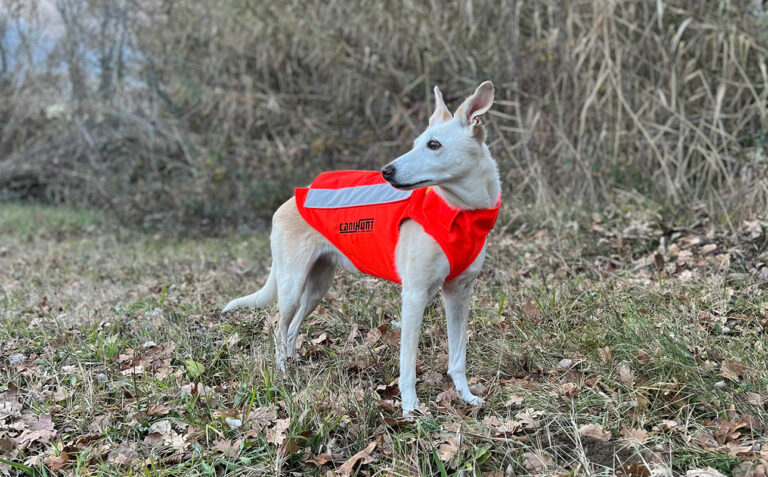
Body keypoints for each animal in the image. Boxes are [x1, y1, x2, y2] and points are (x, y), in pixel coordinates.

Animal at [222, 82, 500, 412]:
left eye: (433, 145)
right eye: (416, 143)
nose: (386, 171)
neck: (461, 213)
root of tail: (287, 203)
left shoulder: (459, 294)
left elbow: (458, 357)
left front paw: (466, 396)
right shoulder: (415, 295)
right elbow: (408, 363)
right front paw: (410, 408)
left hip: (317, 288)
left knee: (290, 332)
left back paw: (291, 366)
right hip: (291, 287)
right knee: (278, 329)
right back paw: (282, 374)